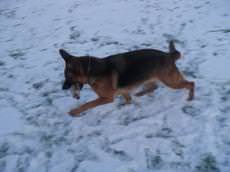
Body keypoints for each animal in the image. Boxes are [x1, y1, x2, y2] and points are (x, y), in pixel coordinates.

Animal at [59, 40, 194, 116]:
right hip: (149, 79)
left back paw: (191, 97)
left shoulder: (106, 98)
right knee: (153, 87)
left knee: (191, 83)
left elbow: (87, 105)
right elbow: (128, 98)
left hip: (171, 82)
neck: (91, 70)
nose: (63, 88)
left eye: (68, 77)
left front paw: (74, 112)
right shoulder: (123, 91)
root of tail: (169, 55)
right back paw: (140, 93)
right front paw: (126, 105)